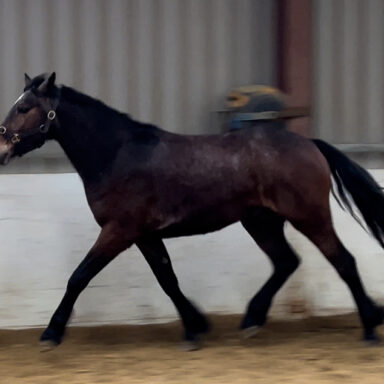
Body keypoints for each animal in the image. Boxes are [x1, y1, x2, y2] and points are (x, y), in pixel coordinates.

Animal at [0, 73, 384, 350]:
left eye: (25, 108)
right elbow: (168, 279)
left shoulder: (119, 231)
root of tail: (309, 144)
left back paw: (369, 328)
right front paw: (196, 326)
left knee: (343, 261)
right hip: (261, 221)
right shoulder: (145, 235)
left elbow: (79, 277)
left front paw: (51, 333)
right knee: (286, 262)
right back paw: (251, 321)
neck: (117, 155)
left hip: (309, 217)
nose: (1, 145)